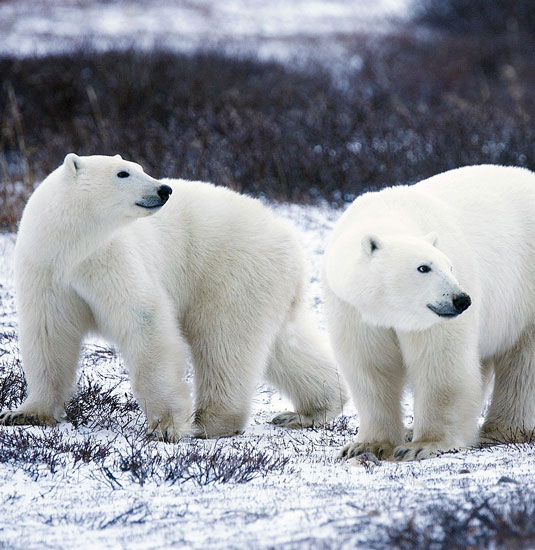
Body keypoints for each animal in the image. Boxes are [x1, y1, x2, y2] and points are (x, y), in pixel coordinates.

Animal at [0, 153, 348, 442]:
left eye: (140, 167)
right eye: (123, 173)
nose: (164, 189)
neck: (71, 246)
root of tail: (291, 239)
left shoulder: (110, 259)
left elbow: (145, 321)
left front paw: (165, 426)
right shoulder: (46, 270)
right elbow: (49, 335)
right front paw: (24, 413)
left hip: (232, 270)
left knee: (223, 341)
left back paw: (210, 422)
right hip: (267, 284)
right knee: (284, 345)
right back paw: (310, 411)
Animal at [324, 164, 535, 462]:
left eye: (450, 266)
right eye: (424, 267)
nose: (461, 300)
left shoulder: (433, 319)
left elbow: (441, 364)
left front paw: (423, 444)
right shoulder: (353, 309)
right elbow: (370, 367)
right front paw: (366, 445)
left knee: (523, 364)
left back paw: (503, 430)